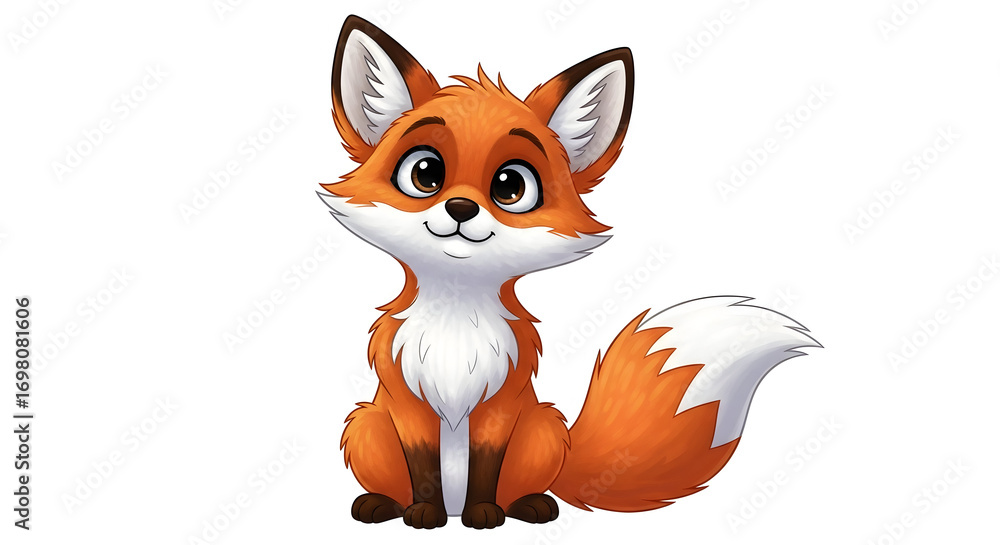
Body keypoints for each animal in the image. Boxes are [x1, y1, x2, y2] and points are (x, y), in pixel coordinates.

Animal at [319, 15, 821, 529]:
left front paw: (484, 512)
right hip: (367, 425)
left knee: (524, 484)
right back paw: (384, 504)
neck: (457, 326)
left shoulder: (502, 405)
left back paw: (525, 505)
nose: (460, 208)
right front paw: (423, 511)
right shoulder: (408, 403)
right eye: (425, 174)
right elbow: (421, 467)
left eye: (510, 186)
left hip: (542, 425)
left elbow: (486, 465)